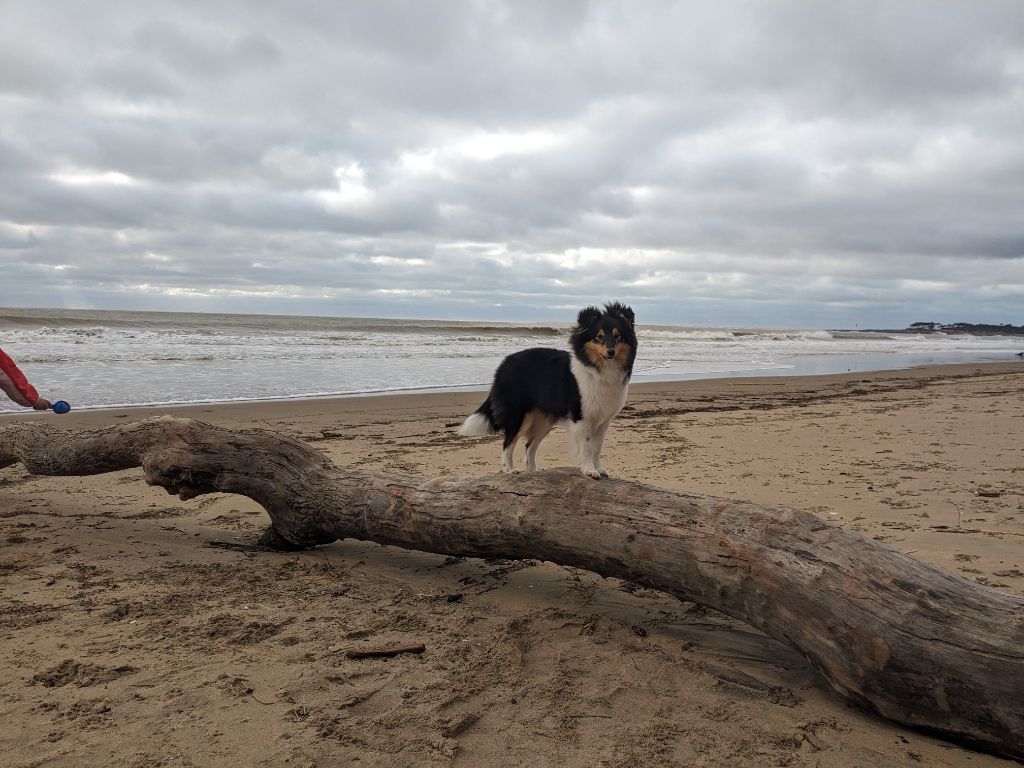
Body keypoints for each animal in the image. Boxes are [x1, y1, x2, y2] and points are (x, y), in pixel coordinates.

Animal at [460, 303, 634, 479]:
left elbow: (597, 448)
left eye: (617, 336)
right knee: (507, 444)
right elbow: (586, 448)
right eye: (598, 336)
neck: (599, 369)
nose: (611, 352)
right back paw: (510, 470)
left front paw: (599, 468)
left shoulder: (603, 421)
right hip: (519, 416)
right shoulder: (581, 418)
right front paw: (589, 470)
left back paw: (533, 473)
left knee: (529, 446)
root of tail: (504, 364)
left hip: (543, 421)